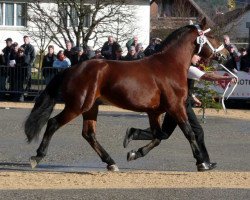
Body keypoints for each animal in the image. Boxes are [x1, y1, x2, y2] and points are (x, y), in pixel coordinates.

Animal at [24, 18, 228, 170]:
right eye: (211, 36)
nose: (224, 55)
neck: (169, 65)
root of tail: (72, 69)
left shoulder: (155, 112)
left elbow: (158, 135)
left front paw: (133, 151)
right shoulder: (176, 107)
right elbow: (189, 133)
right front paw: (202, 163)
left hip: (91, 107)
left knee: (89, 134)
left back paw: (111, 162)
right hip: (77, 106)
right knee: (53, 123)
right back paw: (37, 157)